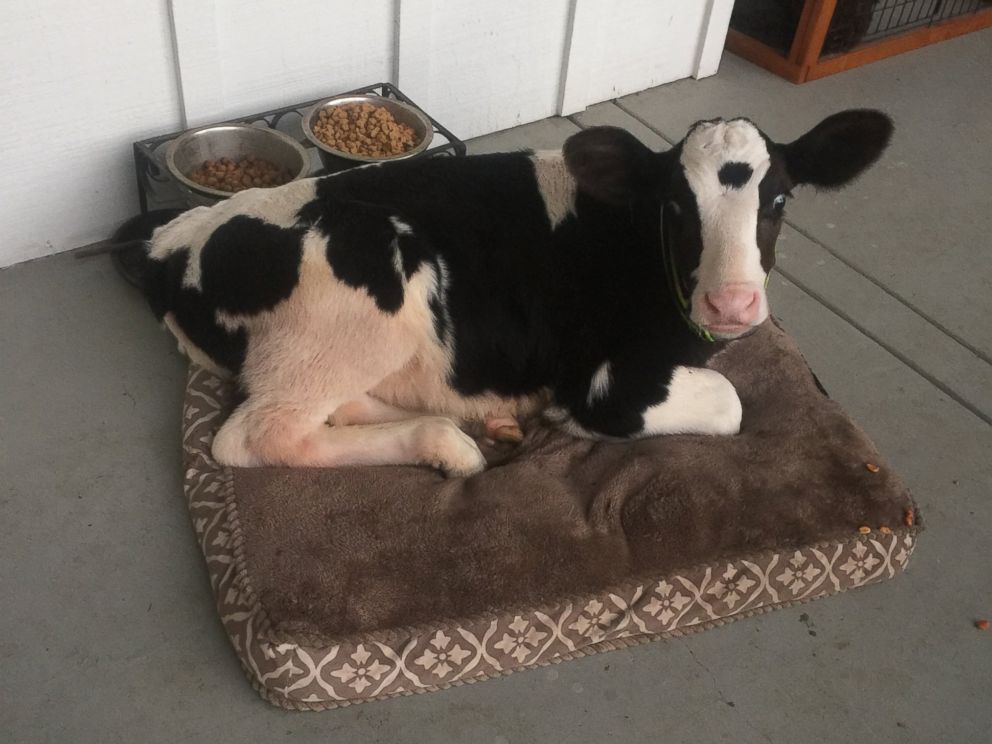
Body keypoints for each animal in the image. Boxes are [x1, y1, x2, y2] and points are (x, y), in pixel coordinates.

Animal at [138, 107, 892, 474]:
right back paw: (449, 447)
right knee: (258, 437)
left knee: (336, 406)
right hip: (370, 297)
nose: (731, 302)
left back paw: (476, 424)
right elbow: (732, 404)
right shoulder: (607, 382)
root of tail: (175, 240)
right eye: (677, 205)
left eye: (780, 199)